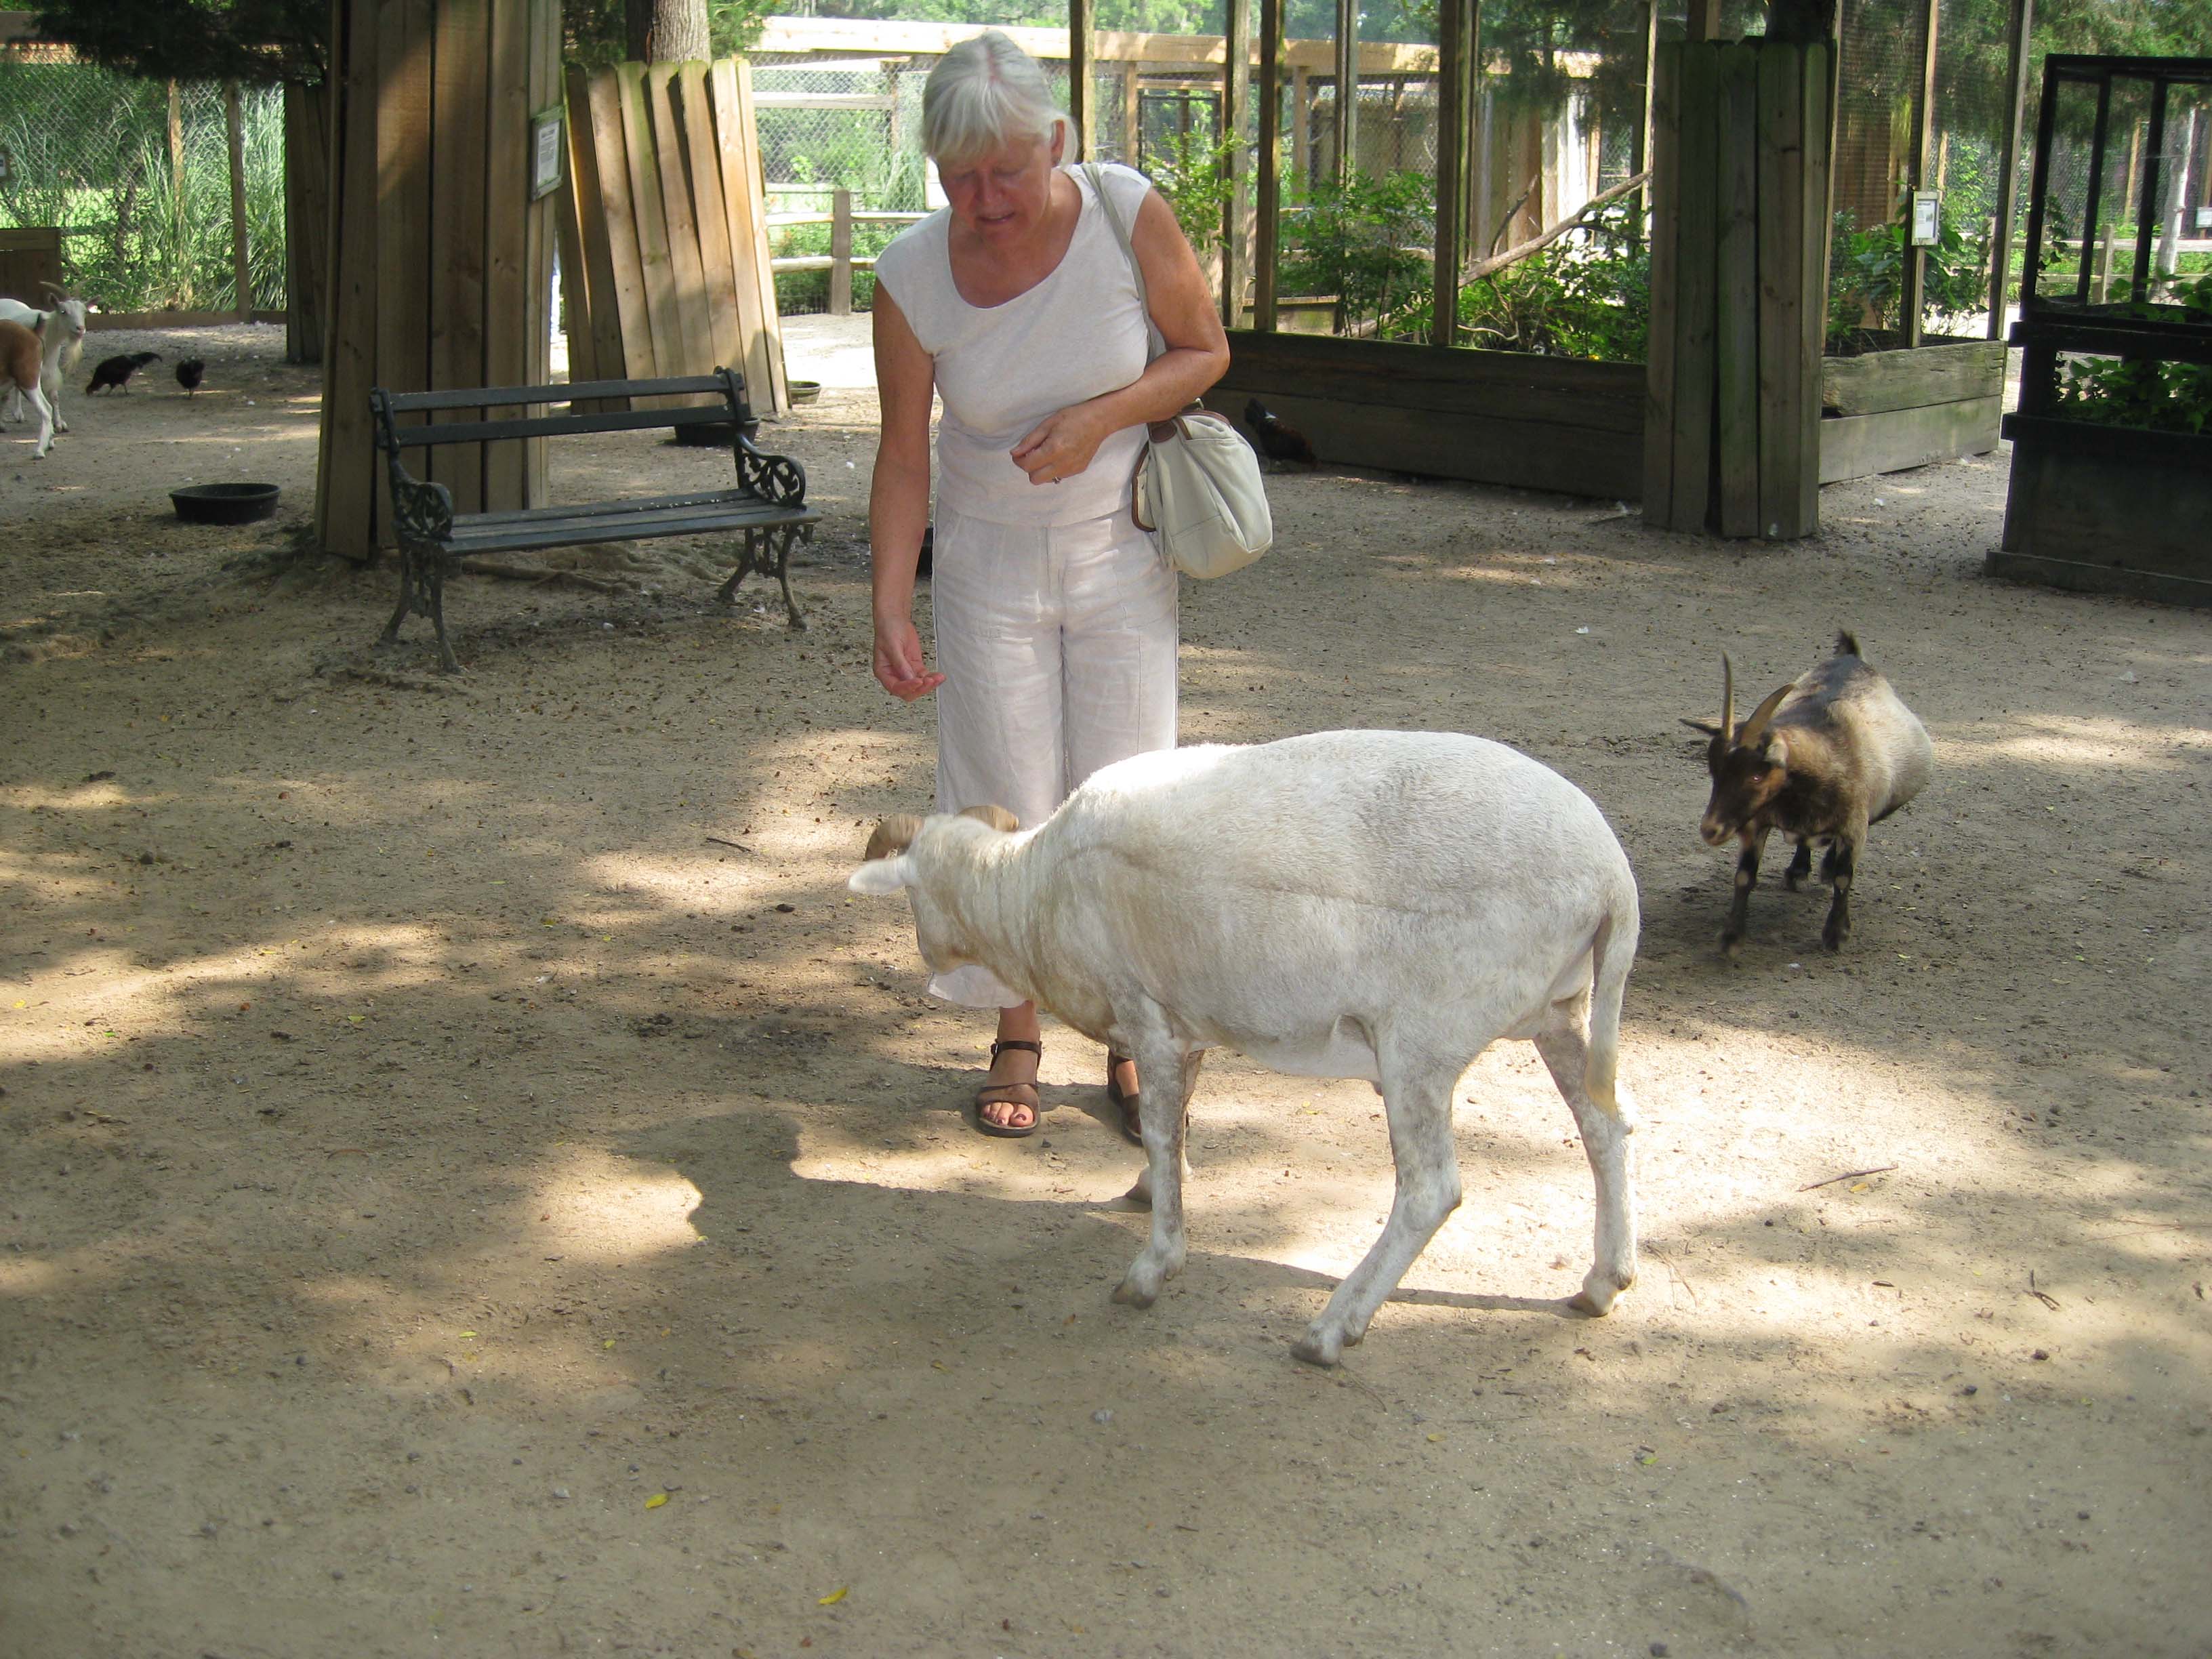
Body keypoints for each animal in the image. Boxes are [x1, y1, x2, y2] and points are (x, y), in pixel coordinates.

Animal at [0, 285, 87, 437]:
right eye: (63, 311)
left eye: (84, 312)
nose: (80, 329)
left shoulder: (50, 369)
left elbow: (54, 396)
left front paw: (59, 424)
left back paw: (19, 414)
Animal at [0, 318, 60, 458]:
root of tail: (33, 333)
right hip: (33, 384)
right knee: (48, 407)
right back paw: (49, 444)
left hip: (27, 381)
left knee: (45, 412)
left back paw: (39, 451)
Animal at [847, 729, 1643, 1366]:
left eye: (911, 896)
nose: (929, 960)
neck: (1025, 894)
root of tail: (1614, 877)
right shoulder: (1185, 1020)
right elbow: (1178, 1122)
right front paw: (1150, 1189)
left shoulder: (1145, 1011)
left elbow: (1162, 1129)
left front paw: (1154, 1265)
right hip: (1561, 1011)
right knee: (1606, 1127)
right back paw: (1605, 1281)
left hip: (1423, 1038)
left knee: (1430, 1191)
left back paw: (1331, 1330)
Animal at [1682, 631, 1933, 954]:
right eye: (1715, 771)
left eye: (1756, 775)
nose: (1710, 830)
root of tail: (1852, 656)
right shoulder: (1755, 822)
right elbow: (1744, 876)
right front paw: (1731, 937)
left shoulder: (1855, 826)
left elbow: (1844, 878)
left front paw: (1836, 934)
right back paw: (1799, 870)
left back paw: (1825, 867)